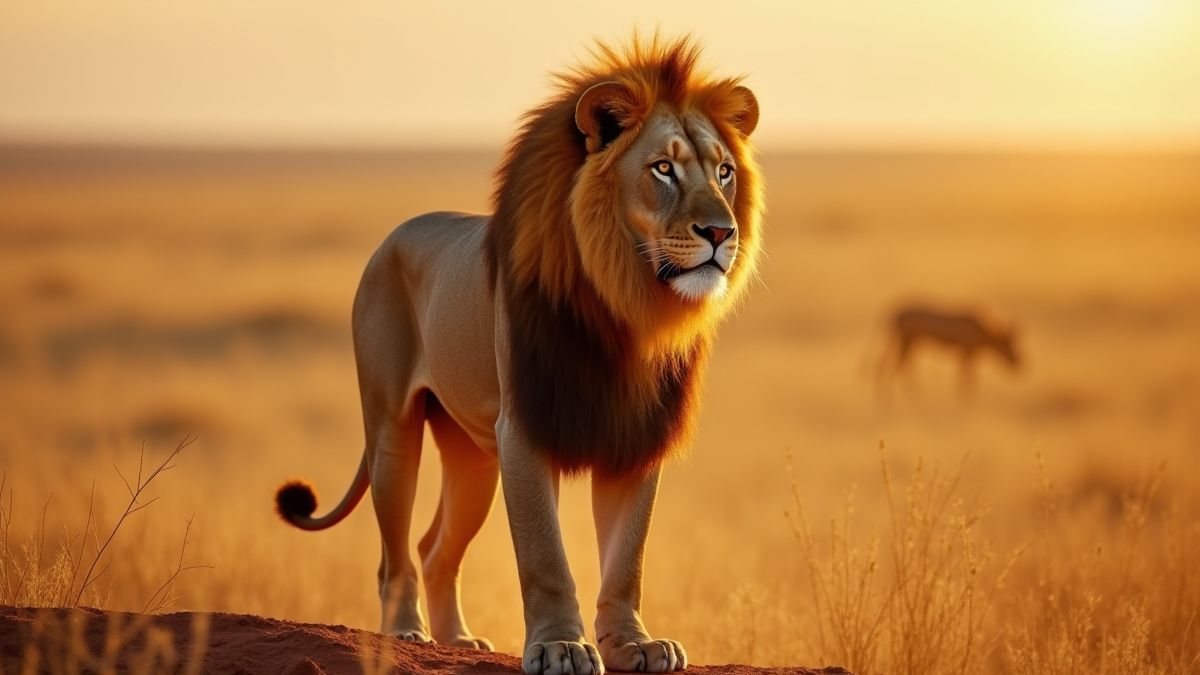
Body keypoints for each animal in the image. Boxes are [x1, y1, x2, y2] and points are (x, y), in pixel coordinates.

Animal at [275, 35, 762, 675]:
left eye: (725, 172)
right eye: (663, 168)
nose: (721, 233)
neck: (626, 306)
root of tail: (395, 235)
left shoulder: (637, 433)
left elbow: (627, 557)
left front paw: (634, 644)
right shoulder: (524, 428)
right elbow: (544, 554)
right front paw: (560, 647)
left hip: (473, 460)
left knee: (435, 548)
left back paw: (458, 641)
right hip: (392, 432)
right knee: (395, 554)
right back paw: (406, 633)